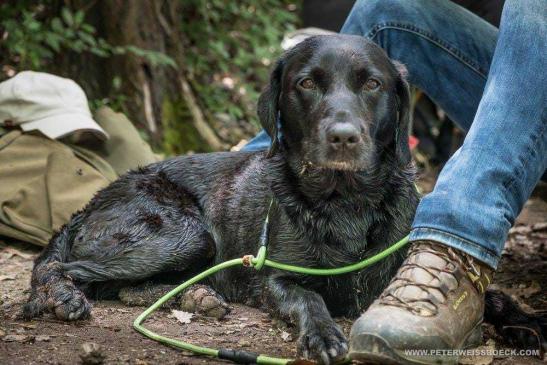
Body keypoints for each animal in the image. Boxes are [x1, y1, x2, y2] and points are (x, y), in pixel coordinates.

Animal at [24, 35, 544, 362]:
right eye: (306, 83)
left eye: (373, 84)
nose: (342, 137)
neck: (345, 205)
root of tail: (91, 203)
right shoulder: (276, 277)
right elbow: (308, 298)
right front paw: (323, 335)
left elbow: (495, 297)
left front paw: (527, 320)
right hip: (183, 233)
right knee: (62, 266)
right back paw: (61, 297)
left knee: (126, 287)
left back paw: (199, 297)